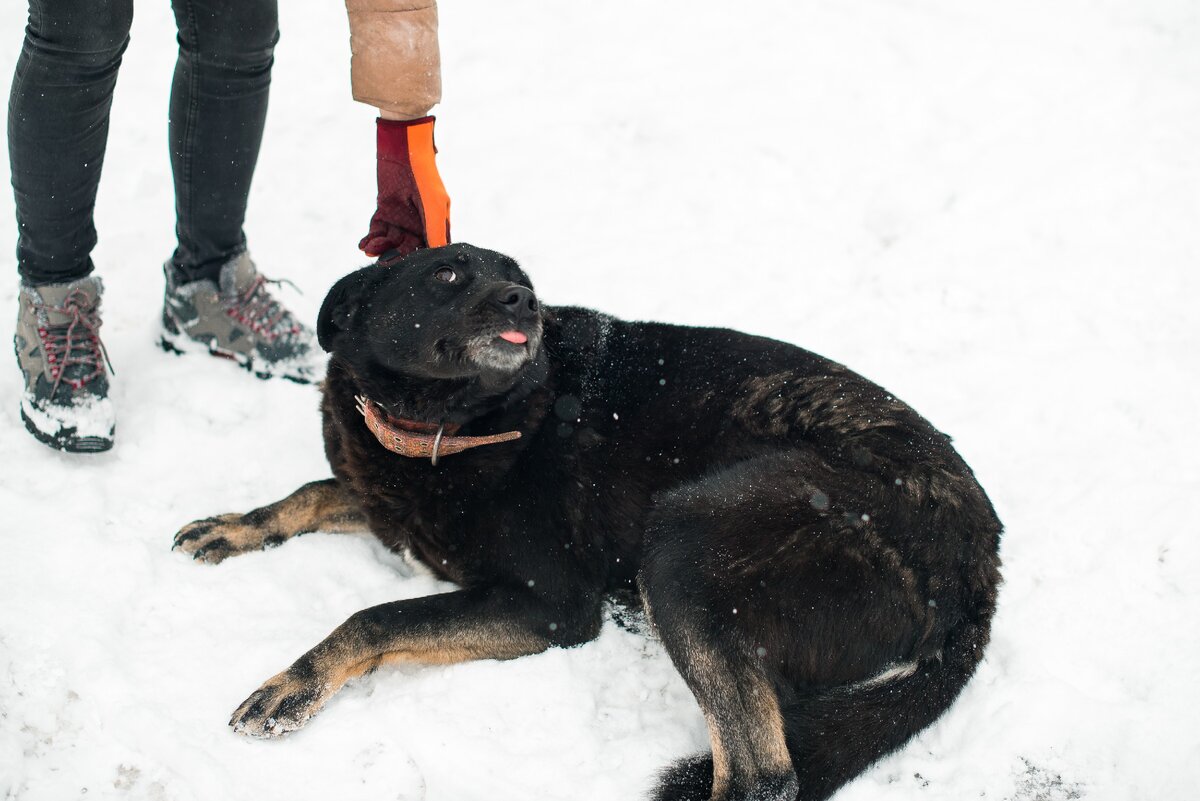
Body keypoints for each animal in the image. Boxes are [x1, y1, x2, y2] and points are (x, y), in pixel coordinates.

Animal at [174, 242, 1003, 801]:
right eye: (448, 273)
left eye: (522, 277)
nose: (522, 302)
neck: (451, 424)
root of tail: (980, 568)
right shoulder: (388, 504)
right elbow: (314, 490)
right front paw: (235, 525)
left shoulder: (552, 606)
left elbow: (376, 616)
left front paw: (294, 682)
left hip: (685, 542)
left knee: (762, 775)